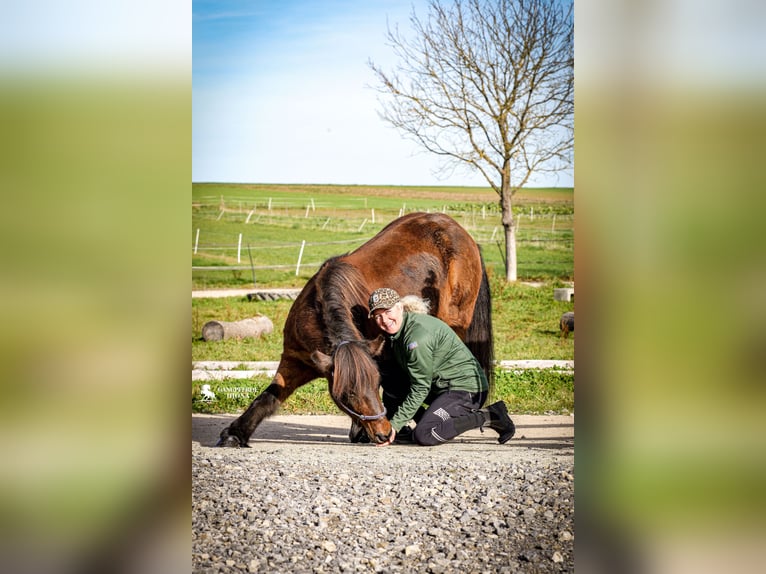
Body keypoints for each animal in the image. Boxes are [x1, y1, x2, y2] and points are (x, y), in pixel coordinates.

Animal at [217, 212, 494, 447]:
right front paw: (235, 433)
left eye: (374, 382)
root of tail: (463, 235)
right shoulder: (295, 360)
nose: (382, 432)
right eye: (347, 394)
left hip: (454, 323)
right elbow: (269, 396)